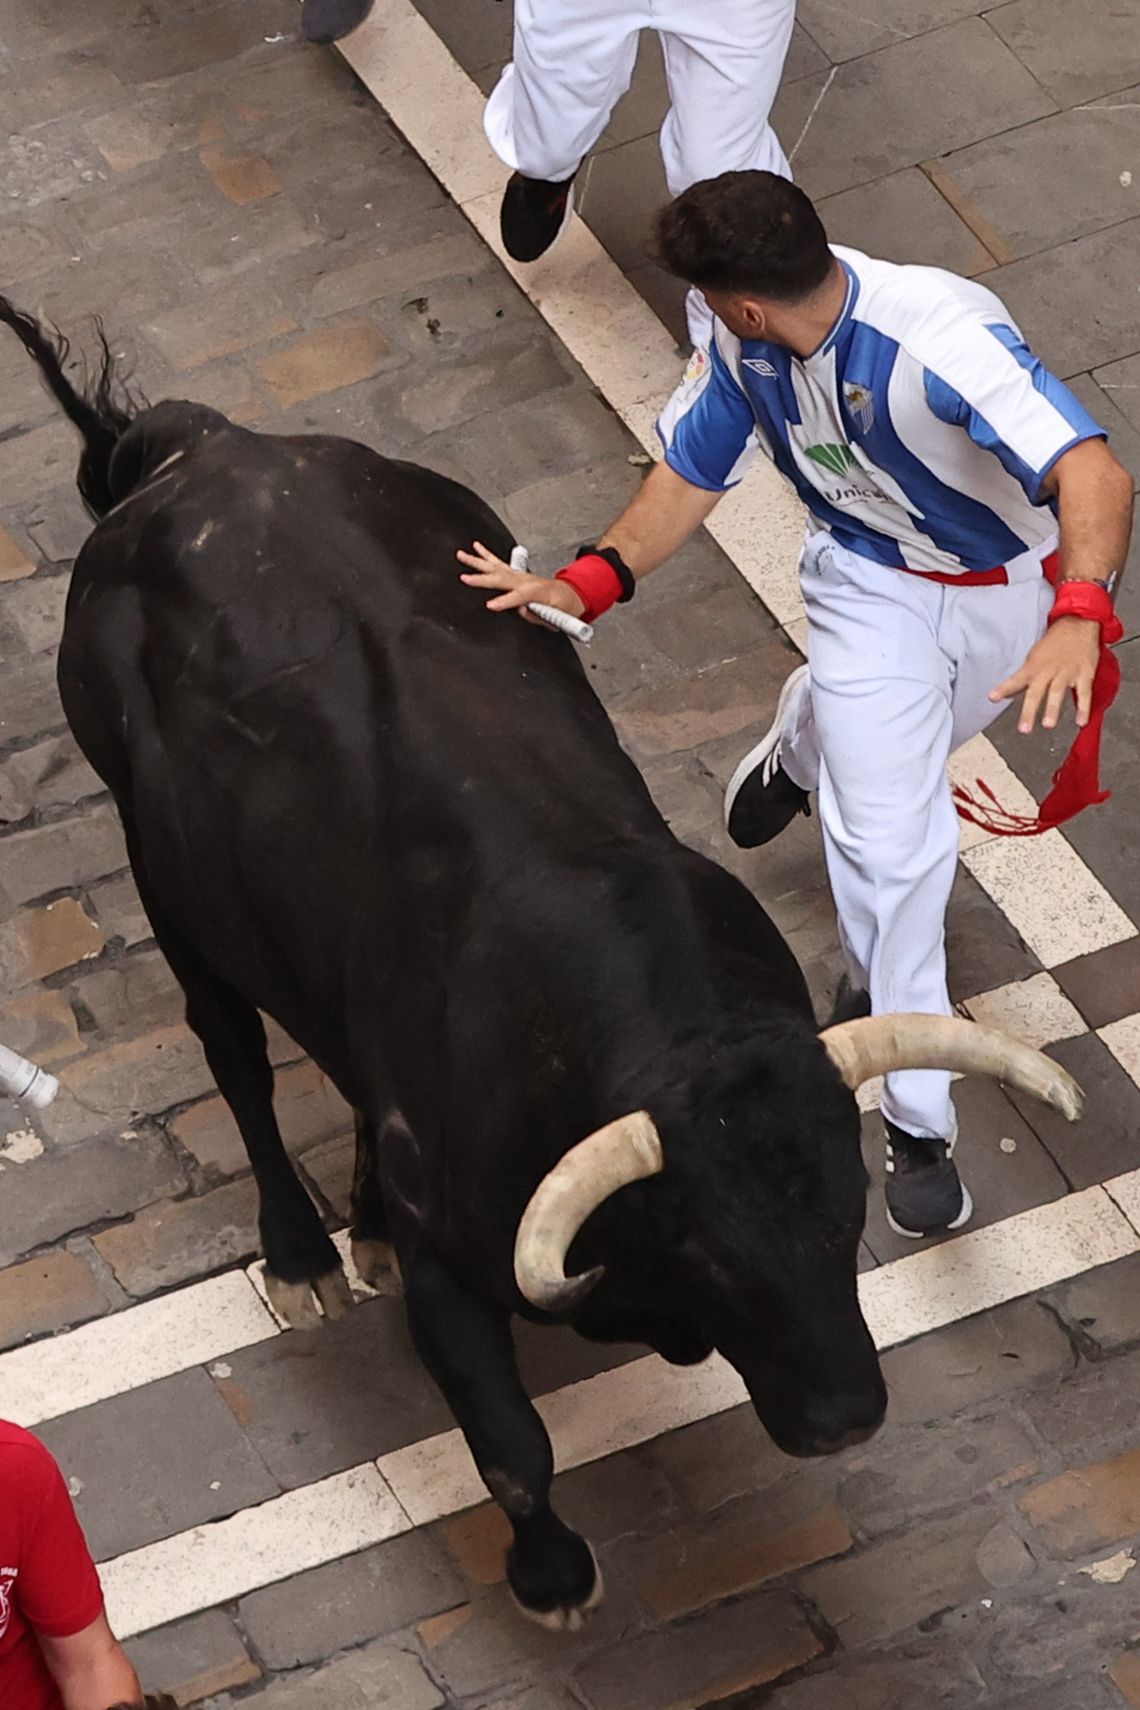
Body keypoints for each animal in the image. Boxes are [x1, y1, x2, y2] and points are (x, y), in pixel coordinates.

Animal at [0, 304, 1087, 1627]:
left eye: (846, 1214)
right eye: (711, 1252)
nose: (843, 1419)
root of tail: (206, 449)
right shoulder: (452, 1276)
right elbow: (512, 1446)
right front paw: (554, 1577)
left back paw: (355, 1224)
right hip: (160, 875)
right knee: (236, 1055)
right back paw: (305, 1253)